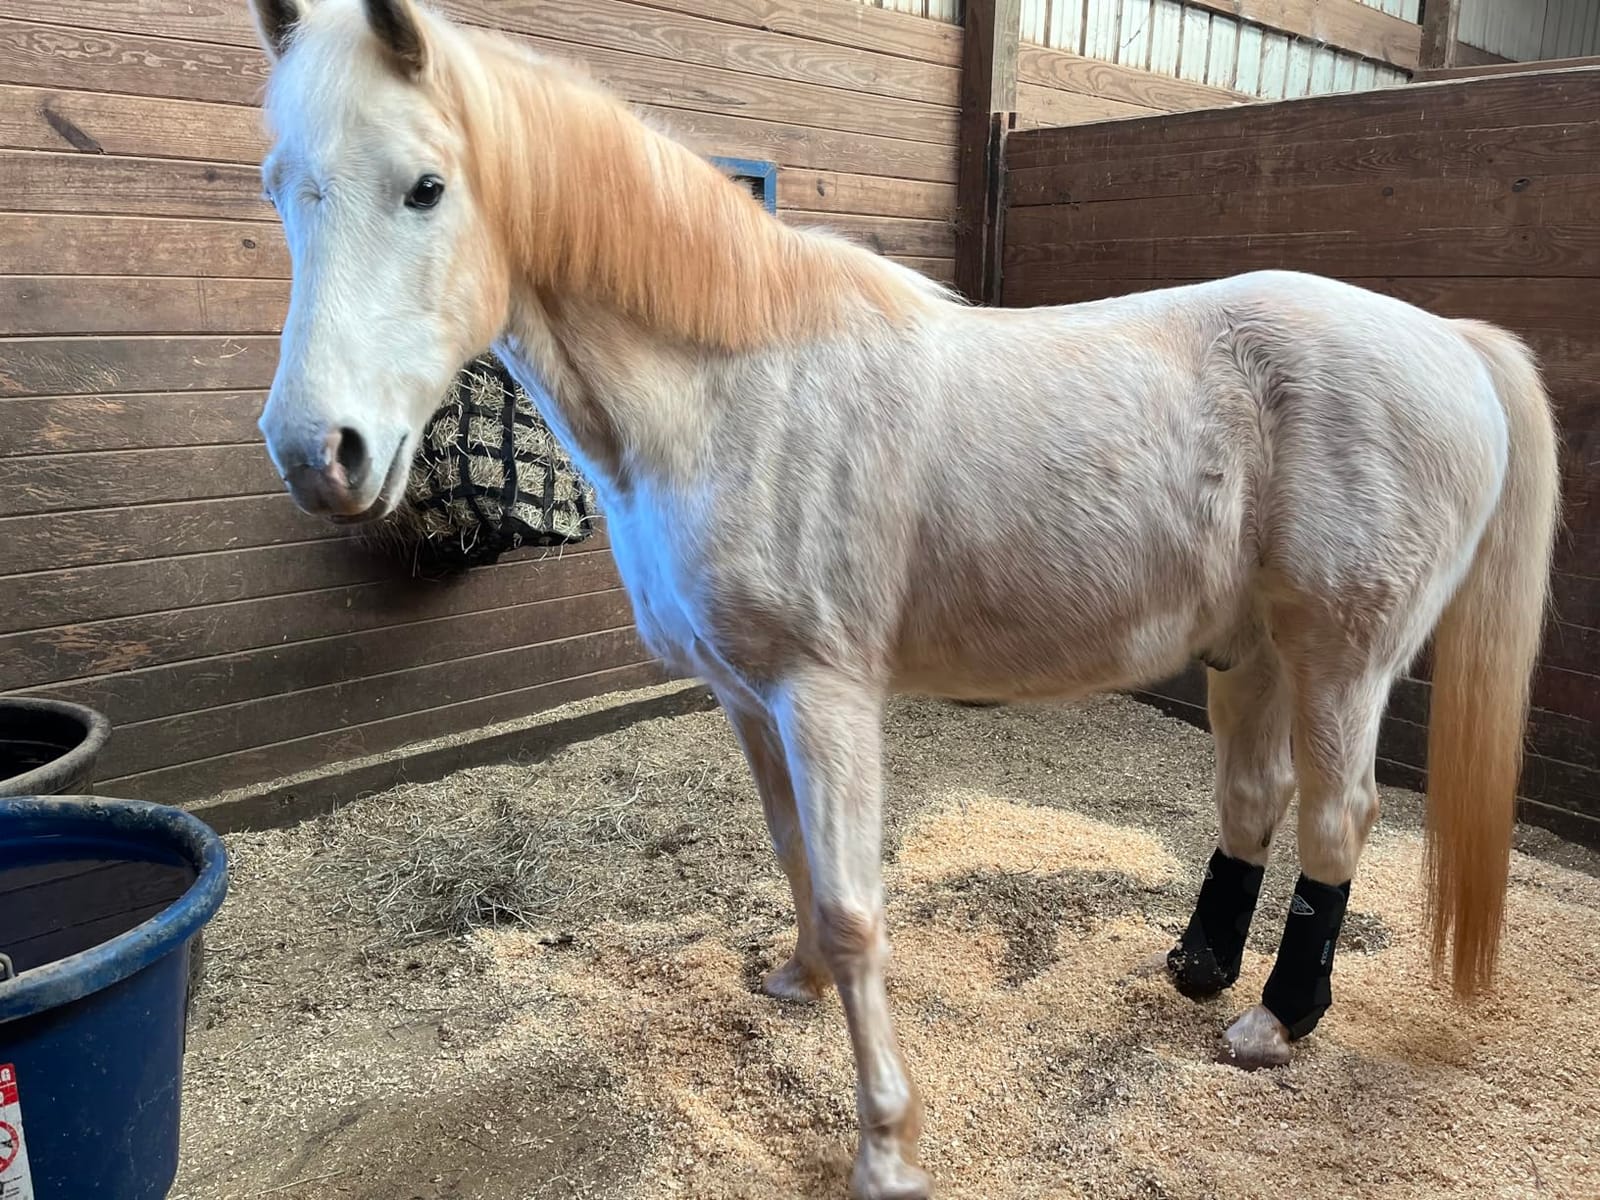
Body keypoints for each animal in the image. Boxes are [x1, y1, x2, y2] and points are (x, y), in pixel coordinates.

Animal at [244, 2, 1561, 1195]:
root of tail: (1450, 341)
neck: (733, 395)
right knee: (1256, 799)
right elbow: (794, 859)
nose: (320, 454)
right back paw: (1199, 968)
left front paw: (885, 1146)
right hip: (1249, 651)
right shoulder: (748, 697)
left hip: (1342, 657)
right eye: (278, 185)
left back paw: (1275, 1022)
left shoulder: (824, 697)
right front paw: (795, 983)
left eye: (424, 188)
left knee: (1338, 820)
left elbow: (854, 907)